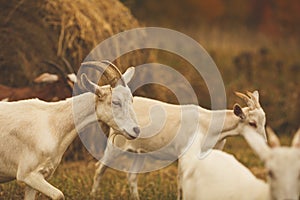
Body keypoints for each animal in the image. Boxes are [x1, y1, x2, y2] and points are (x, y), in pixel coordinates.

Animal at [90, 91, 266, 200]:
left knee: (132, 177)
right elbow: (181, 183)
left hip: (141, 152)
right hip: (115, 145)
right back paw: (93, 195)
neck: (208, 123)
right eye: (252, 123)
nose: (264, 143)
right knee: (99, 169)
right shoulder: (184, 154)